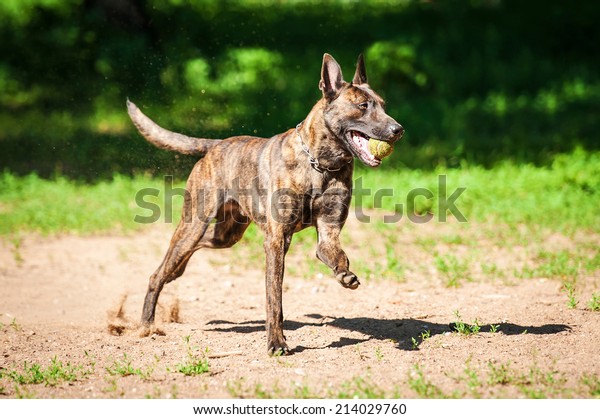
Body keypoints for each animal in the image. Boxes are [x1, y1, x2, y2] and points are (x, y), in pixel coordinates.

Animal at [128, 53, 406, 354]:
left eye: (383, 105)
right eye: (363, 106)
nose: (398, 130)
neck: (319, 165)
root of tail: (215, 145)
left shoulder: (328, 231)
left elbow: (332, 254)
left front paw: (344, 274)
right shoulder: (276, 240)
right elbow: (274, 298)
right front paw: (276, 342)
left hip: (227, 234)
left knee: (191, 251)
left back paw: (176, 273)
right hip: (193, 225)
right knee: (159, 272)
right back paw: (147, 324)